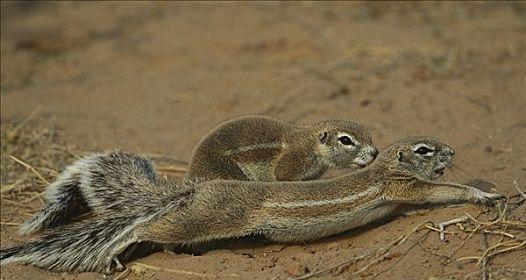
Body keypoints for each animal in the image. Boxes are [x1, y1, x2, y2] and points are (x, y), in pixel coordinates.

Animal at [0, 137, 506, 272]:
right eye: (425, 149)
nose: (453, 152)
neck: (384, 169)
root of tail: (197, 189)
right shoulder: (403, 189)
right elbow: (440, 193)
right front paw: (484, 193)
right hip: (206, 218)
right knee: (150, 229)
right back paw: (115, 253)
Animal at [17, 115, 380, 235]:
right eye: (346, 140)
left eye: (368, 134)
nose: (375, 153)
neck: (309, 141)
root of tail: (191, 182)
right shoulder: (292, 163)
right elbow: (286, 179)